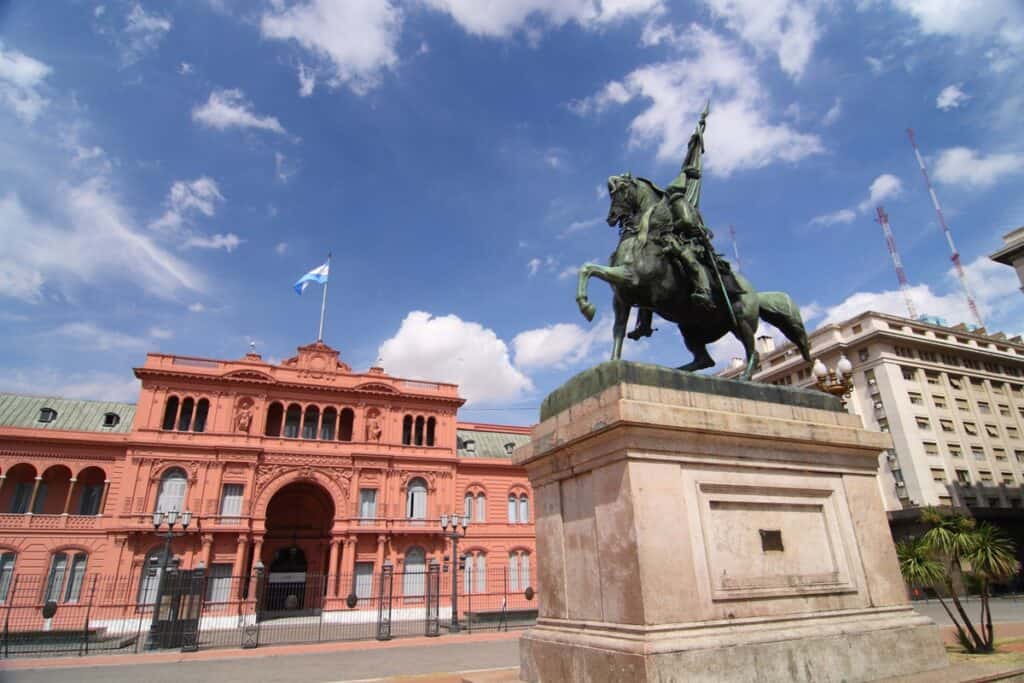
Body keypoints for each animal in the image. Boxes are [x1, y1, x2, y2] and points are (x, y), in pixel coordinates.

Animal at [577, 174, 806, 382]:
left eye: (621, 190)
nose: (611, 217)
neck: (644, 237)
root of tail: (757, 294)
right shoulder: (621, 300)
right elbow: (618, 329)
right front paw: (613, 361)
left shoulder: (630, 277)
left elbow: (588, 268)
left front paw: (586, 306)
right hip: (689, 328)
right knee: (705, 360)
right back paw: (675, 372)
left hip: (741, 321)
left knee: (752, 351)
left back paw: (745, 375)